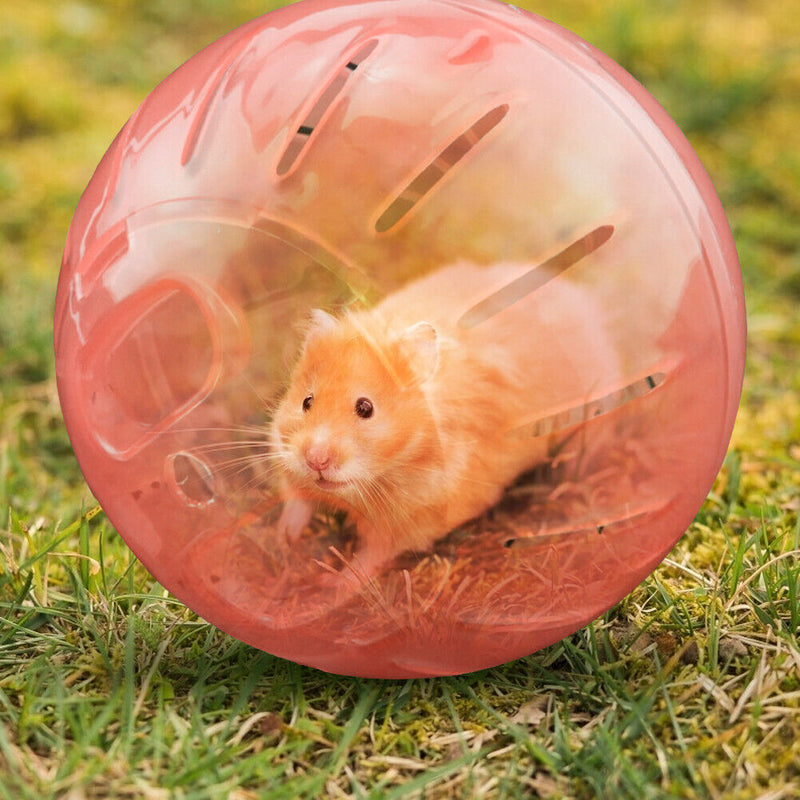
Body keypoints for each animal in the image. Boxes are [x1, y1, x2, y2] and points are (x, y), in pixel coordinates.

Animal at [269, 261, 619, 582]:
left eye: (365, 408)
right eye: (306, 401)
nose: (316, 460)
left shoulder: (415, 520)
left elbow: (371, 557)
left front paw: (331, 588)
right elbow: (297, 501)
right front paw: (284, 542)